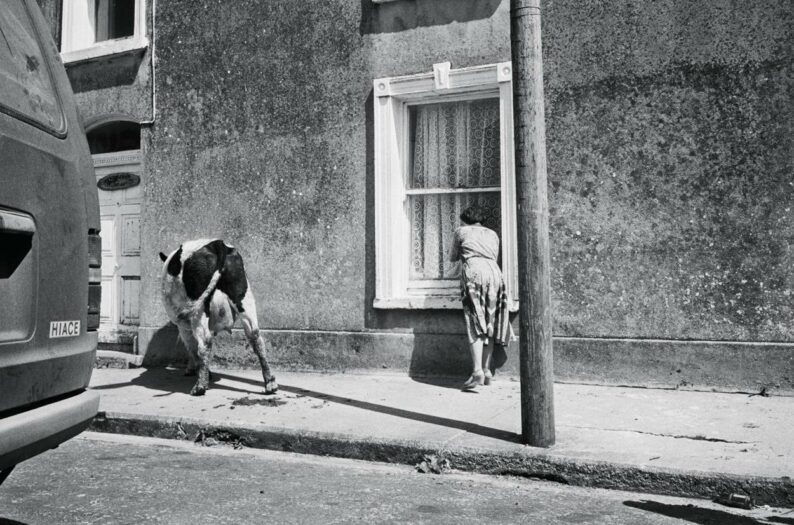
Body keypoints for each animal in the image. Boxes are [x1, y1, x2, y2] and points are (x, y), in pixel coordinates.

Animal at [156, 239, 276, 396]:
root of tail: (216, 244)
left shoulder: (183, 326)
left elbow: (192, 348)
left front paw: (196, 371)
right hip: (243, 296)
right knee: (255, 337)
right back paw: (270, 383)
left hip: (197, 309)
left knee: (204, 342)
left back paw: (200, 386)